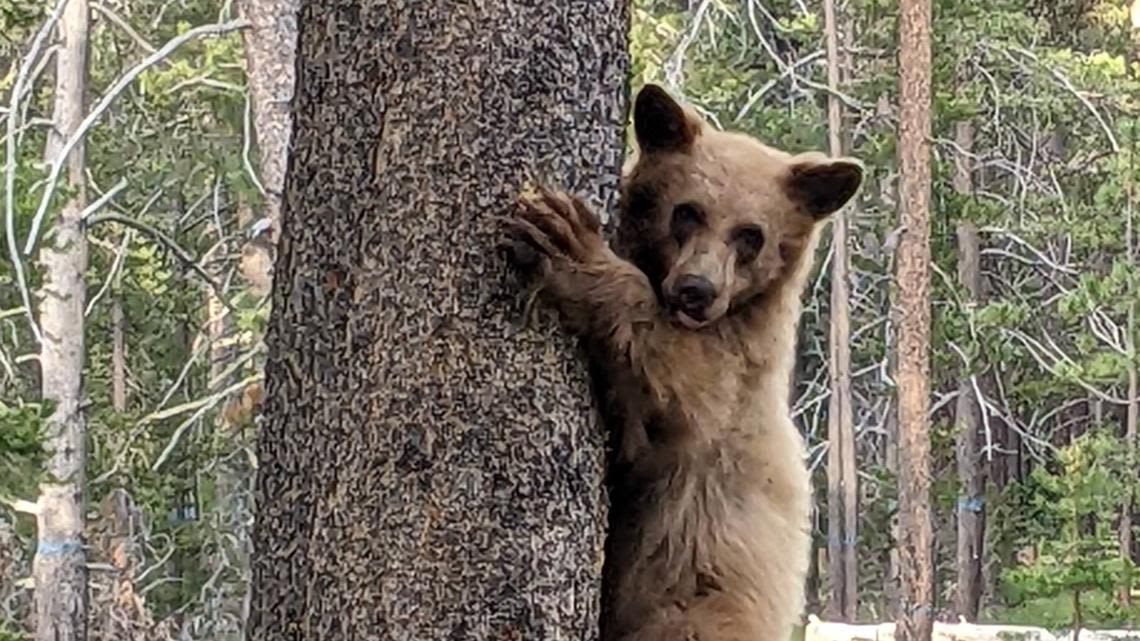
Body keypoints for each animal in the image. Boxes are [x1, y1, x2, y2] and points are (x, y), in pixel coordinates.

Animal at [503, 84, 857, 638]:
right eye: (687, 212)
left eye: (751, 235)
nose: (697, 290)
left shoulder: (734, 378)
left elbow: (680, 383)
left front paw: (567, 240)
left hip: (691, 610)